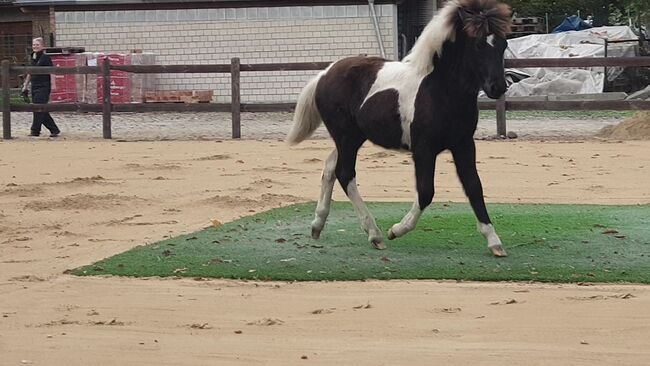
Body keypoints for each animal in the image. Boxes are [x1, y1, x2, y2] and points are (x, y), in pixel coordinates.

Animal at [286, 0, 508, 256]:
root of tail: (324, 74)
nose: (497, 87)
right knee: (345, 174)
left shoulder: (463, 144)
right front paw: (396, 230)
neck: (439, 90)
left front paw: (494, 241)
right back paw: (375, 234)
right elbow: (426, 191)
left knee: (331, 167)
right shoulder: (423, 150)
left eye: (504, 44)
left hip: (352, 138)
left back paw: (317, 225)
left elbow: (474, 186)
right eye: (478, 44)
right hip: (346, 137)